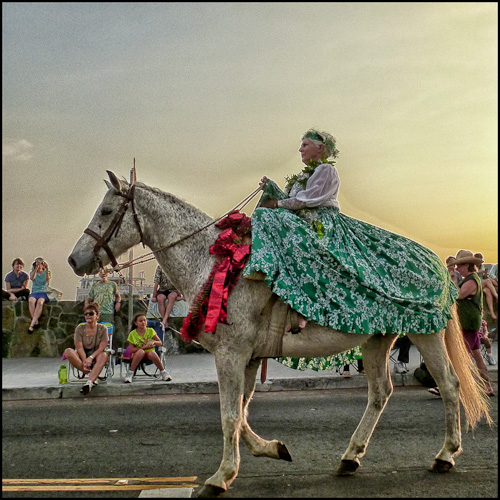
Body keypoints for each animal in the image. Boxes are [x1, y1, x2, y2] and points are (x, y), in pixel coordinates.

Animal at [68, 171, 490, 496]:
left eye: (107, 211)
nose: (75, 259)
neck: (214, 262)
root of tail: (437, 262)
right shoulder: (250, 357)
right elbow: (240, 413)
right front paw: (271, 449)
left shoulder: (231, 354)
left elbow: (228, 415)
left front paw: (220, 476)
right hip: (377, 338)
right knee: (381, 392)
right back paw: (351, 456)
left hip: (426, 334)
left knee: (448, 384)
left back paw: (445, 455)